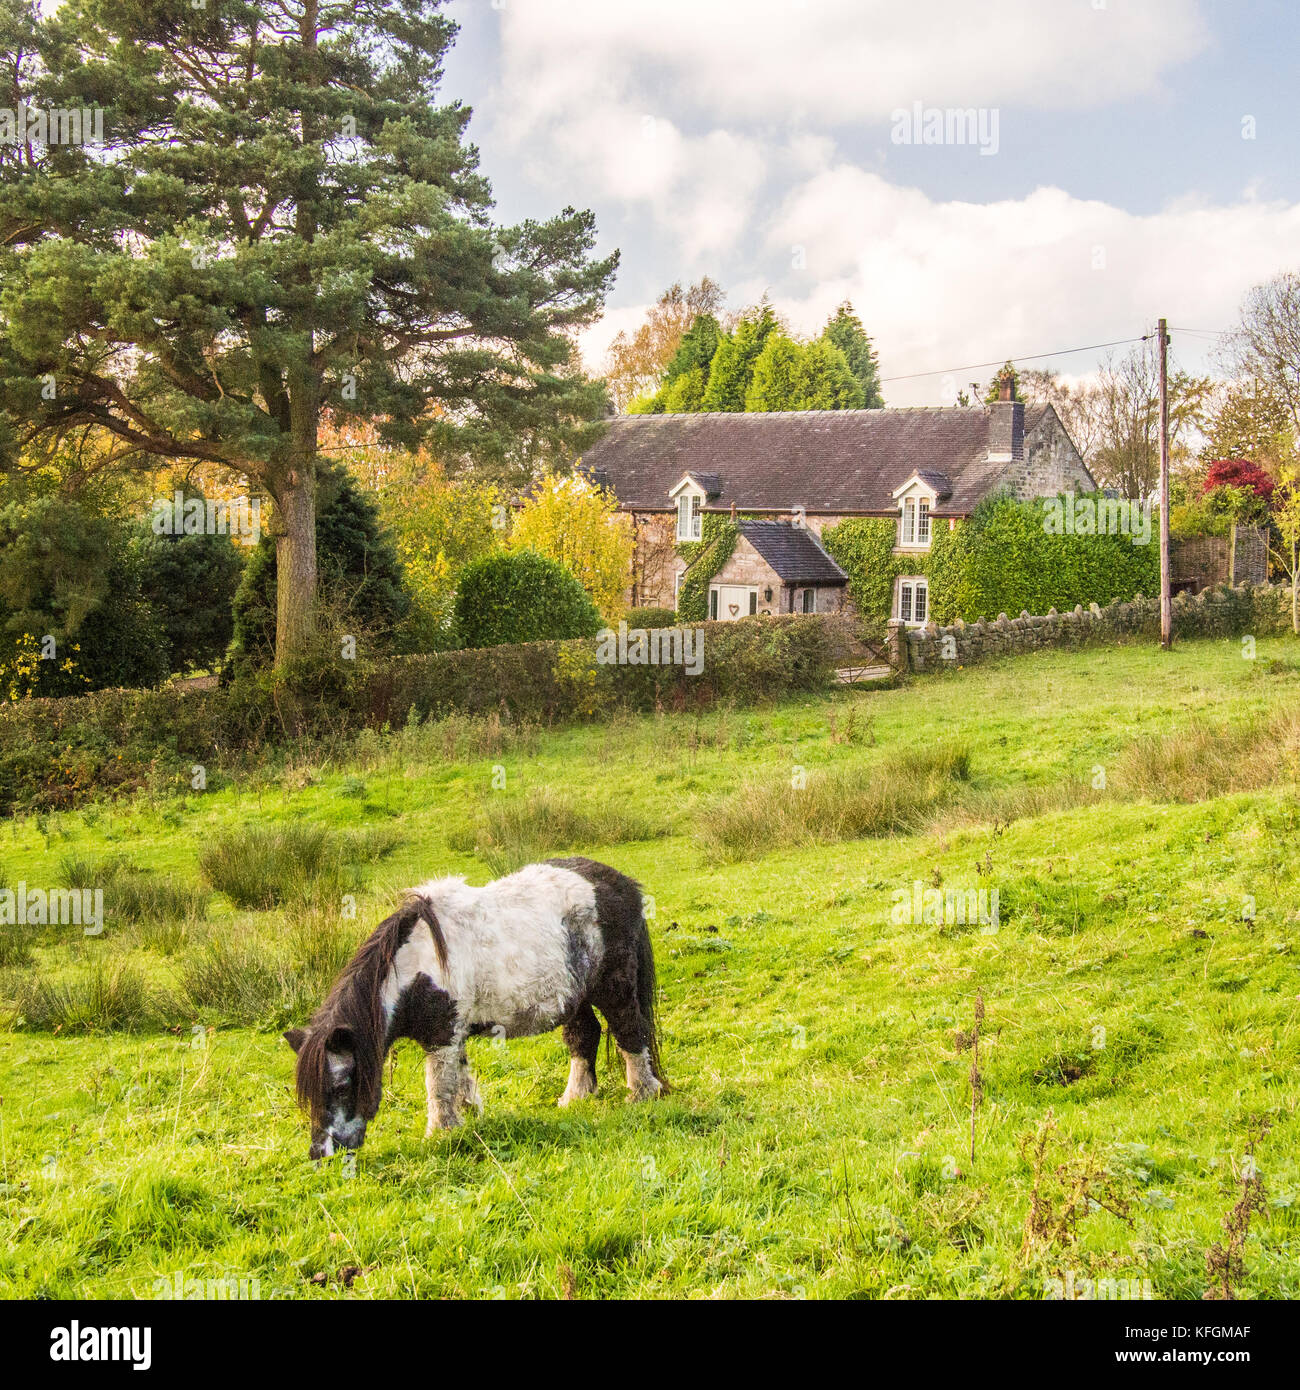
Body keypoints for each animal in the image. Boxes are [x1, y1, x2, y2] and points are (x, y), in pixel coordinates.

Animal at [284, 856, 667, 1159]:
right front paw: (469, 1117)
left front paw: (440, 1133)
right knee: (584, 1036)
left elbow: (438, 1086)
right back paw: (574, 1098)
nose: (321, 1154)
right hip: (576, 996)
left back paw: (641, 1094)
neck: (415, 965)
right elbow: (459, 1077)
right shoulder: (454, 1033)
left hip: (614, 987)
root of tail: (624, 886)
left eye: (341, 1086)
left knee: (630, 1032)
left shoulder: (441, 1035)